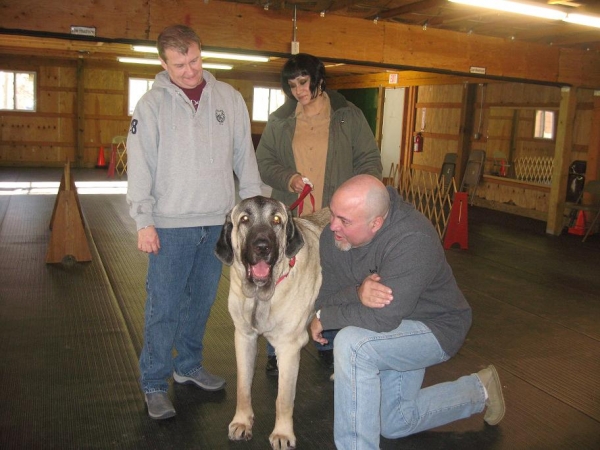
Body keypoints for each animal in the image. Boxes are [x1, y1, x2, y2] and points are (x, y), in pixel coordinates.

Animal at [216, 197, 328, 450]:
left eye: (276, 220)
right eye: (244, 219)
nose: (262, 246)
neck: (261, 296)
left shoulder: (289, 348)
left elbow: (283, 399)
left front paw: (283, 433)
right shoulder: (244, 337)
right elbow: (243, 386)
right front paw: (242, 421)